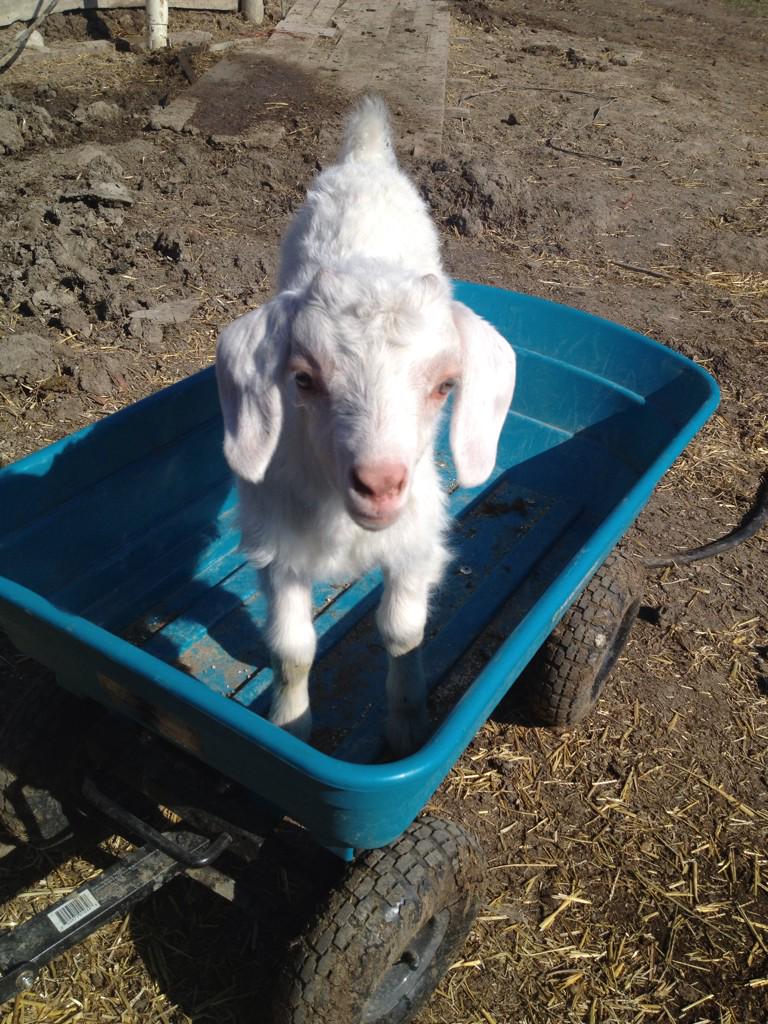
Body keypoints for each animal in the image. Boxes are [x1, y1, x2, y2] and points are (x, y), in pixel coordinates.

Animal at [215, 96, 516, 757]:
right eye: (302, 379)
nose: (379, 485)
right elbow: (293, 649)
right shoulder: (277, 549)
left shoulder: (416, 541)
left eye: (445, 386)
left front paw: (406, 732)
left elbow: (403, 633)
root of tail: (368, 156)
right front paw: (291, 725)